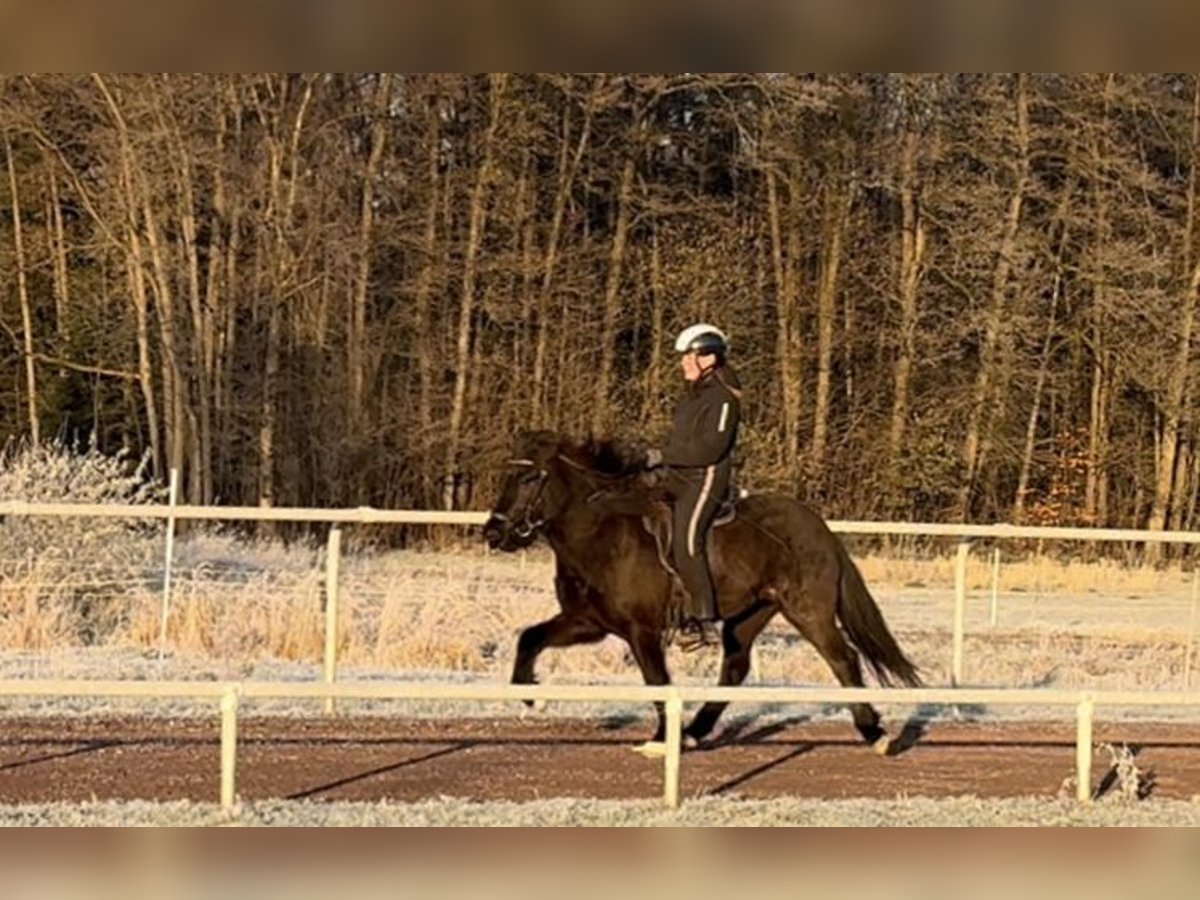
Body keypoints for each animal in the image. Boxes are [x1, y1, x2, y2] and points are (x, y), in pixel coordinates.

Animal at [482, 430, 921, 755]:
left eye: (528, 478)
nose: (493, 532)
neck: (602, 534)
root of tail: (820, 528)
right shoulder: (586, 623)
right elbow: (529, 639)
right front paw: (533, 698)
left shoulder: (641, 631)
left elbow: (657, 681)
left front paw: (662, 740)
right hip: (749, 615)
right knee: (736, 668)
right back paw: (696, 730)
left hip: (808, 611)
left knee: (843, 660)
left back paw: (875, 733)